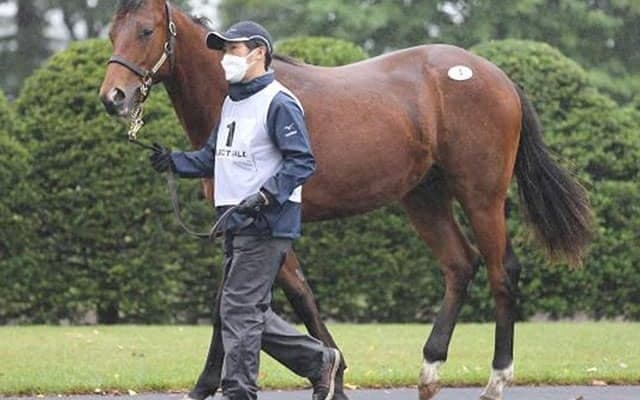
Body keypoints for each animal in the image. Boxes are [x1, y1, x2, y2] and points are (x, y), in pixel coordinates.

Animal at [99, 1, 592, 400]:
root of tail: (498, 76)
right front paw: (328, 372)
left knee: (501, 270)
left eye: (146, 31)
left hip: (481, 193)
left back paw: (496, 379)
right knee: (460, 265)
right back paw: (430, 370)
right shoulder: (239, 225)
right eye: (112, 32)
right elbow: (265, 298)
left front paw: (327, 375)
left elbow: (273, 299)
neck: (243, 95)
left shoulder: (263, 218)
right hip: (423, 196)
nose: (113, 97)